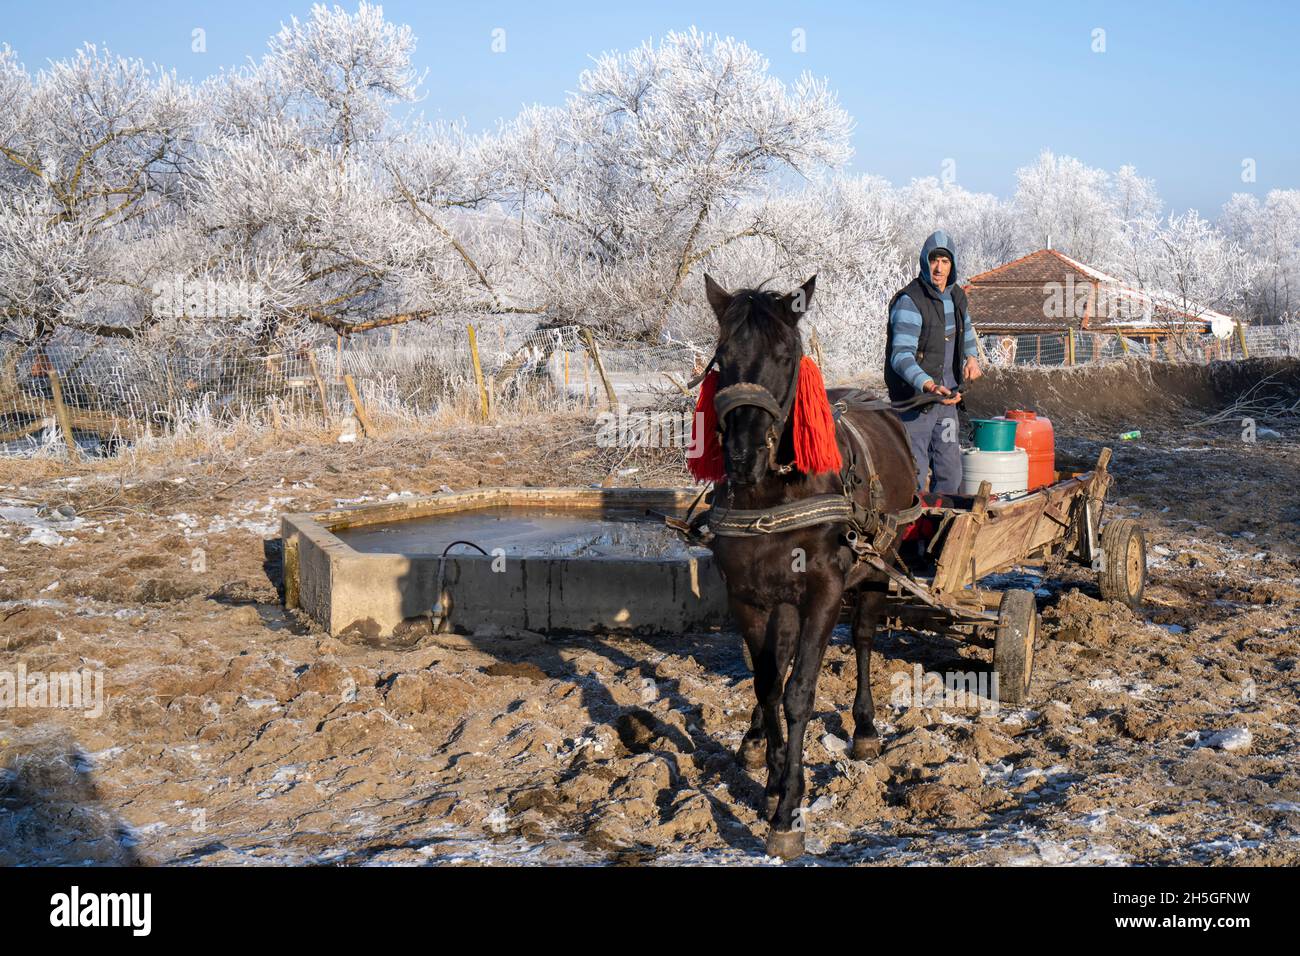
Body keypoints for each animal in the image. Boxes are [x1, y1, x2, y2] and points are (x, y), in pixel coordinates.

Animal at [693, 274, 917, 860]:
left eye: (785, 355)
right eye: (723, 355)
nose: (743, 455)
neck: (771, 493)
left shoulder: (823, 590)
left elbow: (798, 694)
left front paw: (788, 809)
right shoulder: (747, 596)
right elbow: (767, 683)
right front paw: (772, 776)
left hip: (878, 567)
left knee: (862, 638)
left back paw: (864, 729)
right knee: (780, 660)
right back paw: (755, 741)